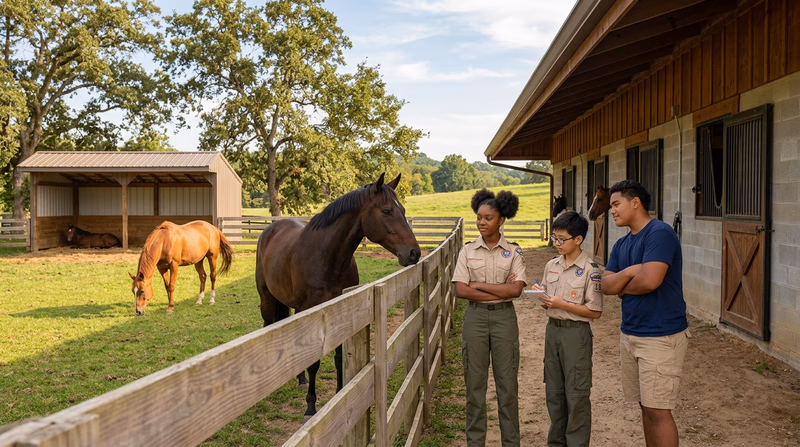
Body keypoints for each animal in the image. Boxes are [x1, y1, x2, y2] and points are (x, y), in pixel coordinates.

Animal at [256, 173, 421, 421]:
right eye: (386, 211)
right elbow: (314, 363)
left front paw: (341, 393)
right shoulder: (311, 313)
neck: (327, 258)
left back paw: (300, 379)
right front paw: (310, 408)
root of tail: (271, 229)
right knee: (268, 325)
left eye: (401, 209)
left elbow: (340, 358)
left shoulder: (342, 313)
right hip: (268, 299)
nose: (414, 252)